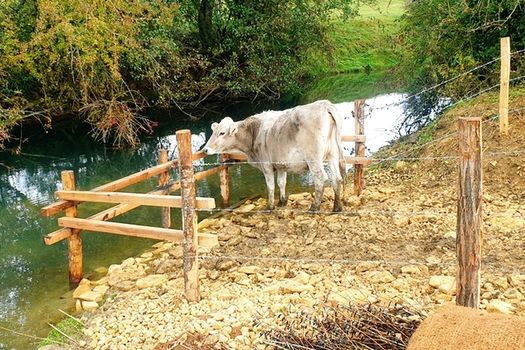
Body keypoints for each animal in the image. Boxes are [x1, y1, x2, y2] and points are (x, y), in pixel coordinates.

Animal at [203, 100, 346, 212]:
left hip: (314, 159)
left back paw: (314, 207)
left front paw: (270, 206)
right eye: (213, 132)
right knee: (337, 178)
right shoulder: (282, 164)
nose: (205, 149)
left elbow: (270, 186)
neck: (254, 132)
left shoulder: (266, 165)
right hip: (332, 154)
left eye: (222, 133)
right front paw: (282, 202)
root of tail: (324, 104)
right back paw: (337, 207)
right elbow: (281, 182)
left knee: (321, 178)